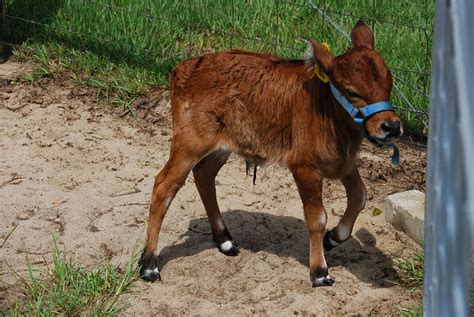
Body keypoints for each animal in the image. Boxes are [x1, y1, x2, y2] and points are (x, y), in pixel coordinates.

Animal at [139, 19, 402, 286]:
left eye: (389, 84)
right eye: (352, 92)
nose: (391, 127)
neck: (325, 110)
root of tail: (182, 67)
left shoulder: (344, 162)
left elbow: (360, 196)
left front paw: (333, 238)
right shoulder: (304, 166)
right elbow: (317, 217)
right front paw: (319, 271)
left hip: (221, 147)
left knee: (204, 176)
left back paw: (224, 240)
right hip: (189, 142)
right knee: (163, 186)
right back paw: (148, 264)